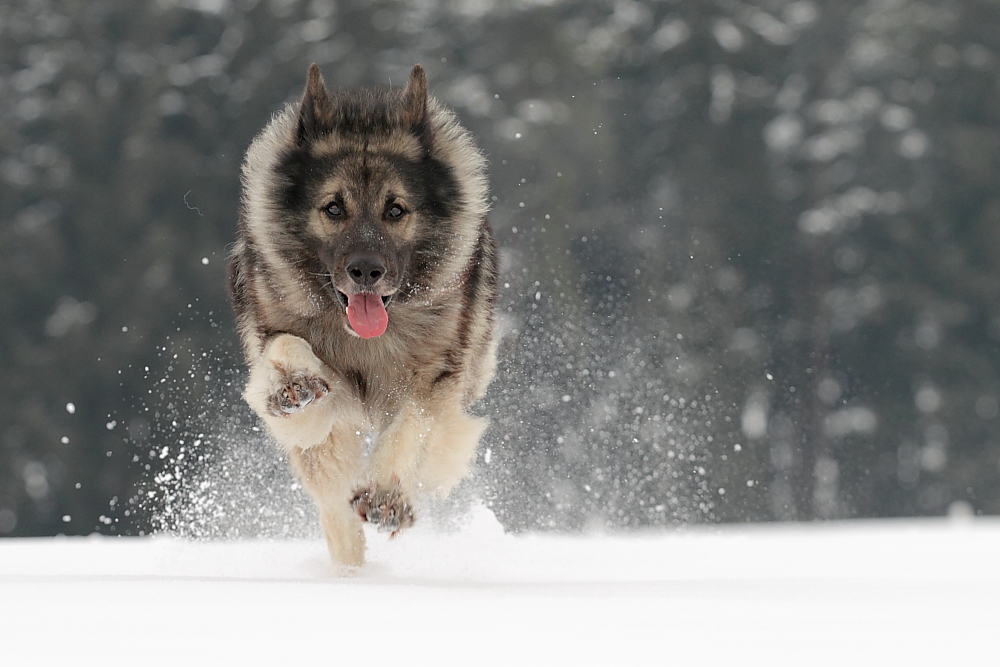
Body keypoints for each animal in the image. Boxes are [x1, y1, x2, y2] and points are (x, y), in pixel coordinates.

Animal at [232, 62, 500, 568]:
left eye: (395, 210)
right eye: (334, 208)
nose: (366, 271)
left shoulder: (435, 382)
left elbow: (410, 429)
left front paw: (386, 497)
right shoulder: (312, 400)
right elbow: (285, 345)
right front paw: (292, 382)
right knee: (334, 504)